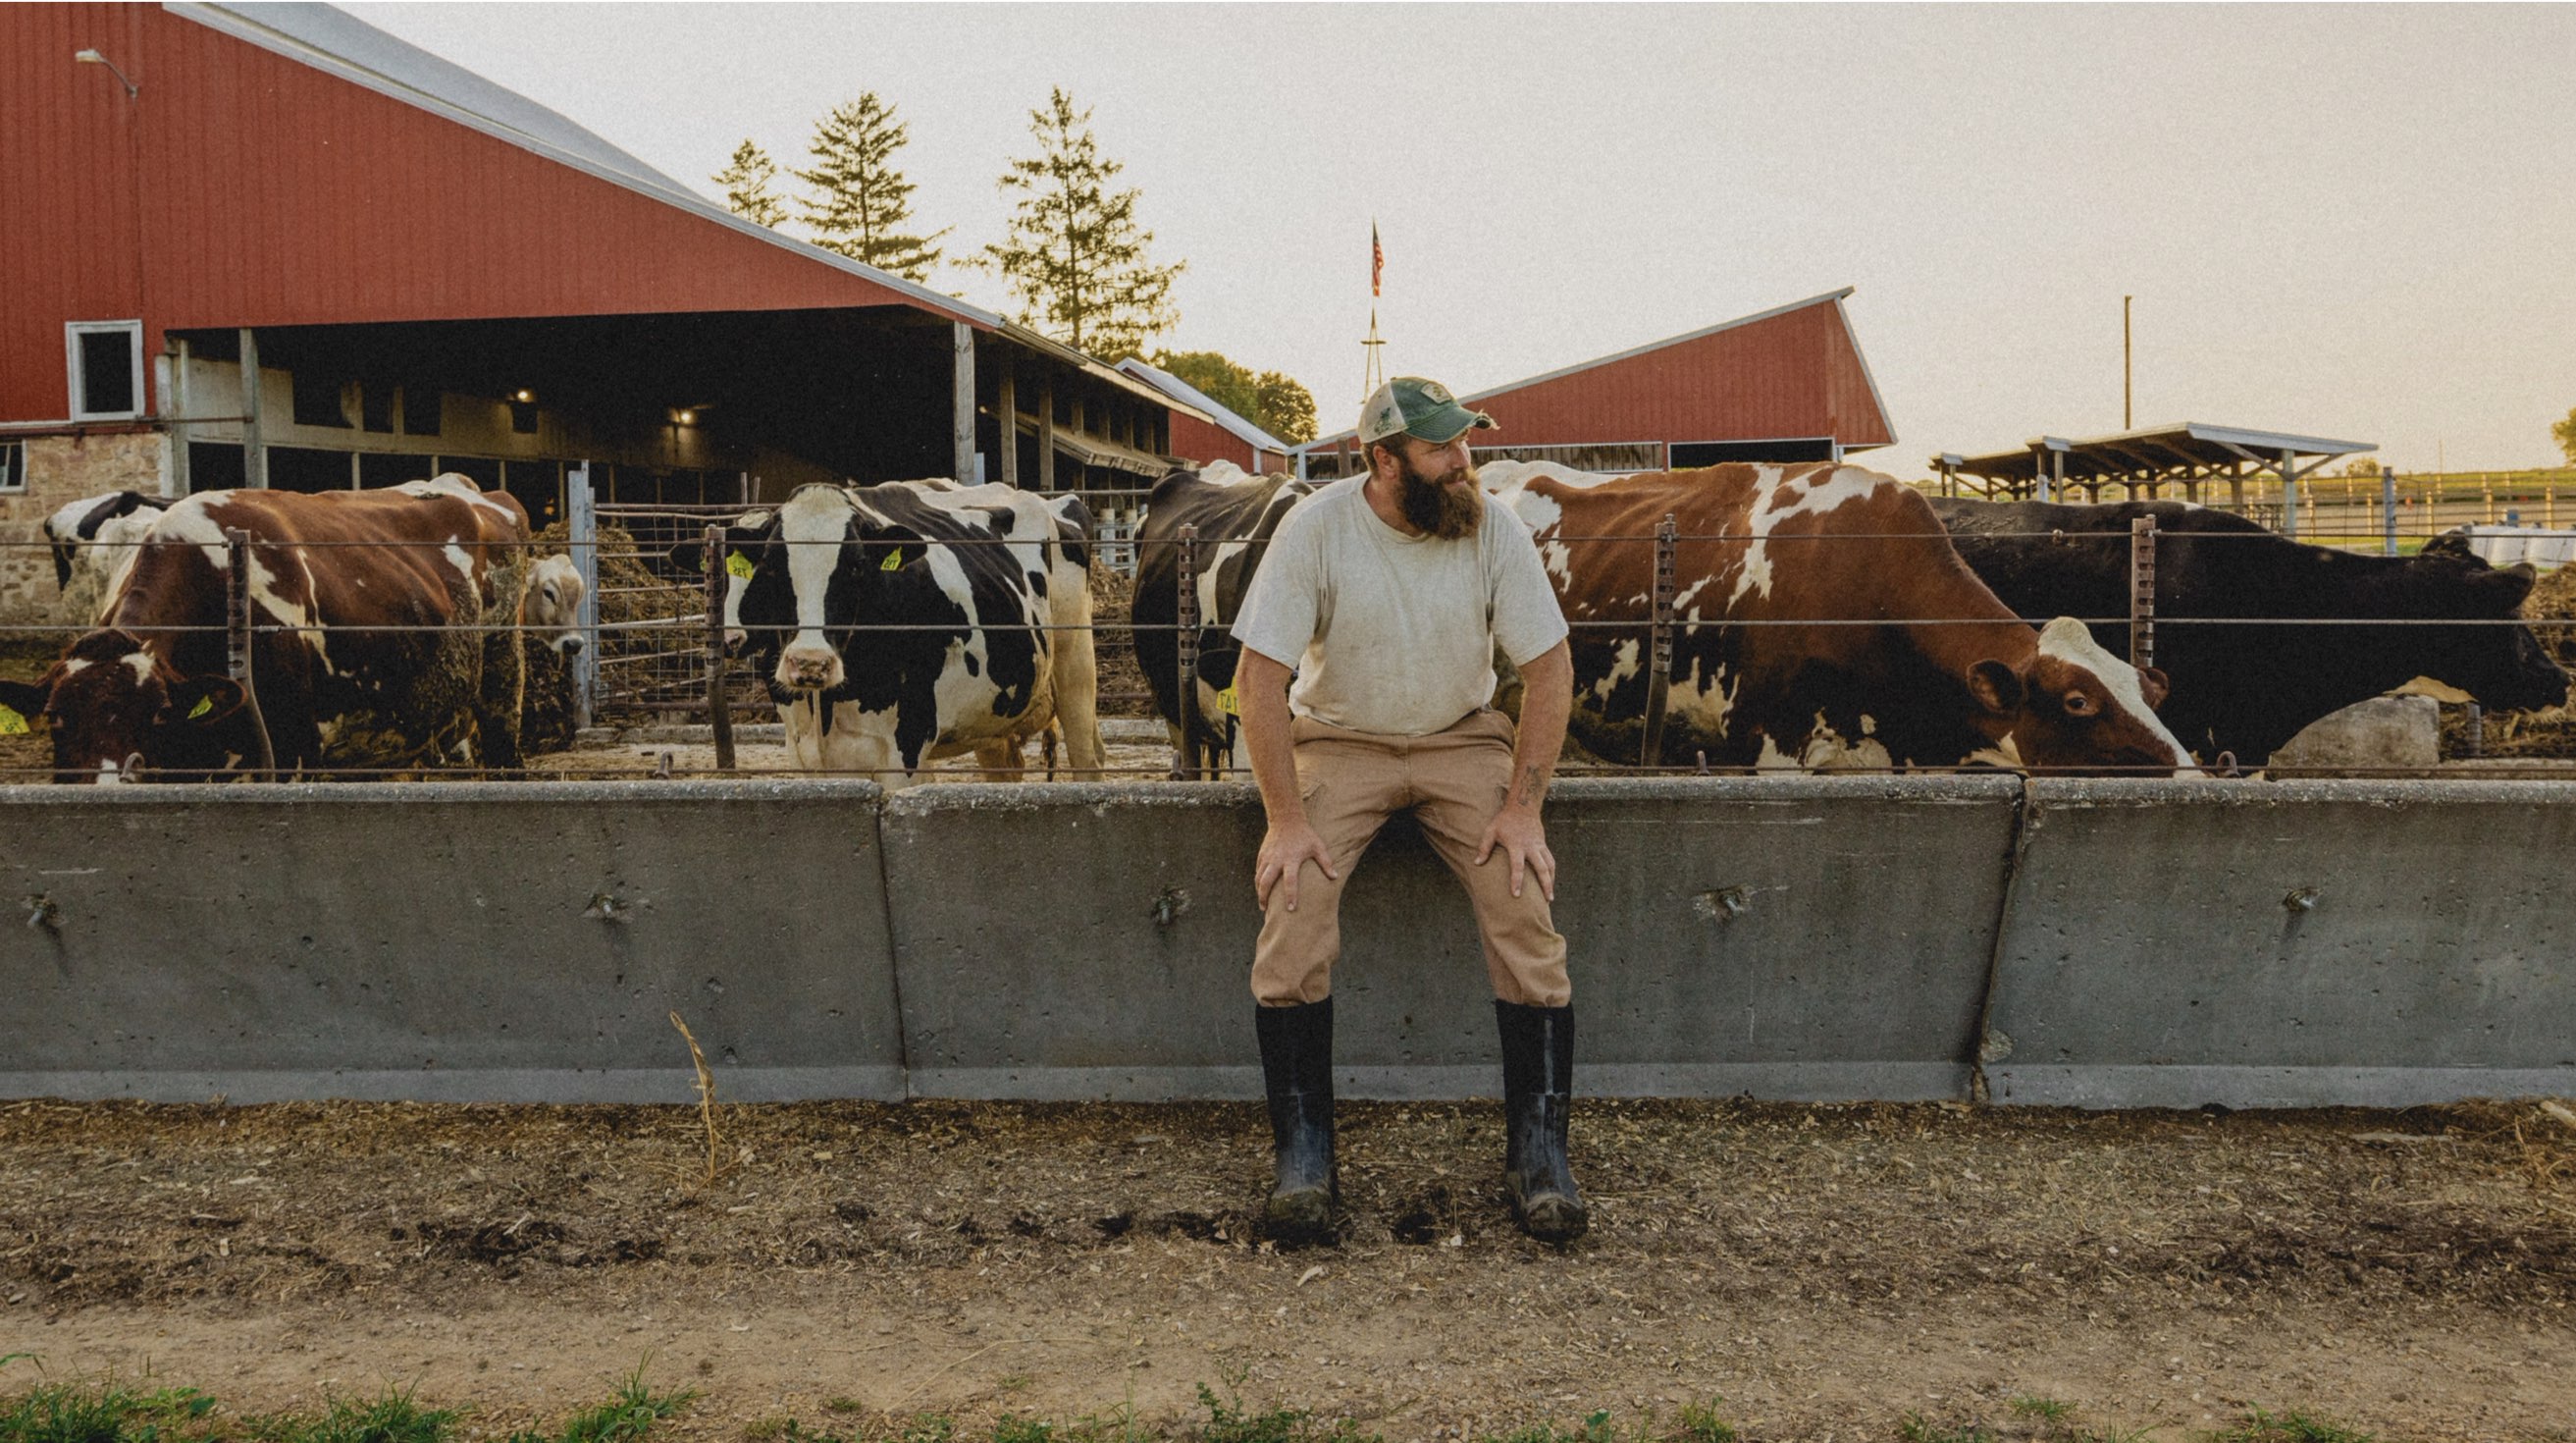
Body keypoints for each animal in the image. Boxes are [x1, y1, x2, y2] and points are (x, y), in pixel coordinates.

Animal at [731, 479, 1102, 783]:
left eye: (857, 566)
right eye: (770, 566)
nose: (810, 663)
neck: (827, 705)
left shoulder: (906, 747)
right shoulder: (804, 753)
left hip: (1076, 666)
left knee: (1088, 759)